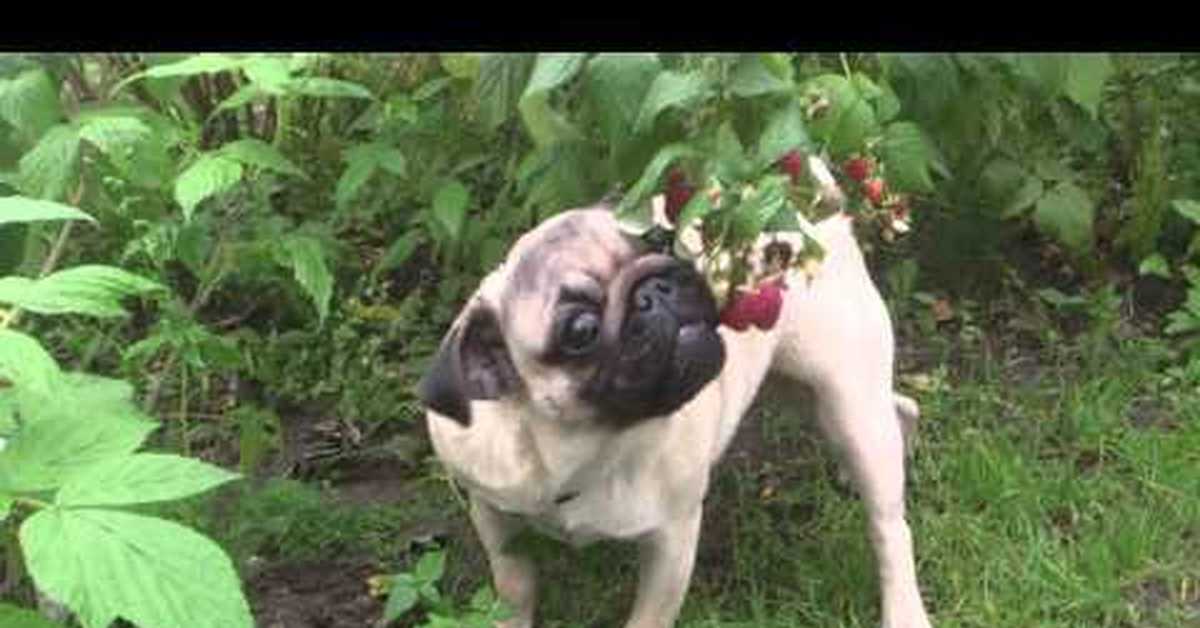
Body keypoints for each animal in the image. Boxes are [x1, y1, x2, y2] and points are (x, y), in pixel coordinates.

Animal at [417, 158, 931, 628]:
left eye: (662, 242)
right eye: (580, 331)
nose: (657, 287)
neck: (586, 450)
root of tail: (813, 211)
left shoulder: (672, 539)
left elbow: (647, 619)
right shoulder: (493, 516)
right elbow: (514, 589)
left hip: (847, 398)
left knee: (889, 528)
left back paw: (904, 608)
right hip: (802, 389)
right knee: (902, 406)